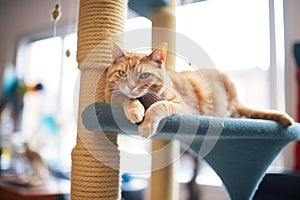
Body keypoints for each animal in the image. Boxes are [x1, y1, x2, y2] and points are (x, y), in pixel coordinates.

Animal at [105, 40, 292, 138]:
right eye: (122, 73)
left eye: (144, 76)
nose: (131, 86)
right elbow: (126, 98)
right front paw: (135, 110)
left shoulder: (181, 106)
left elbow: (158, 106)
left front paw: (146, 125)